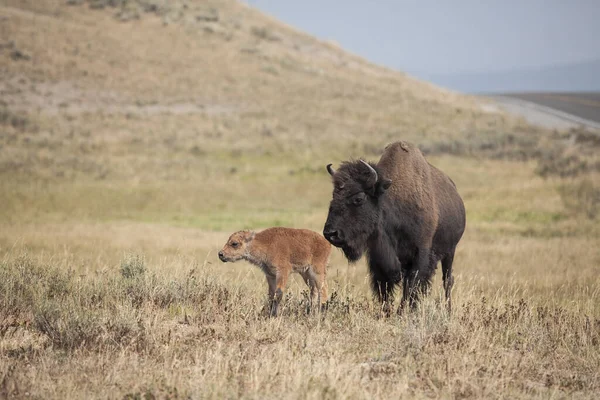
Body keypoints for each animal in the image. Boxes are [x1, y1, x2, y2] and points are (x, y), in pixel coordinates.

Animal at [322, 142, 466, 314]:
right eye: (334, 196)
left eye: (359, 198)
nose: (330, 233)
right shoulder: (379, 259)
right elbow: (384, 289)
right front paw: (388, 312)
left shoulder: (420, 255)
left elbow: (411, 287)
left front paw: (402, 312)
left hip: (450, 251)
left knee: (447, 280)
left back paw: (448, 310)